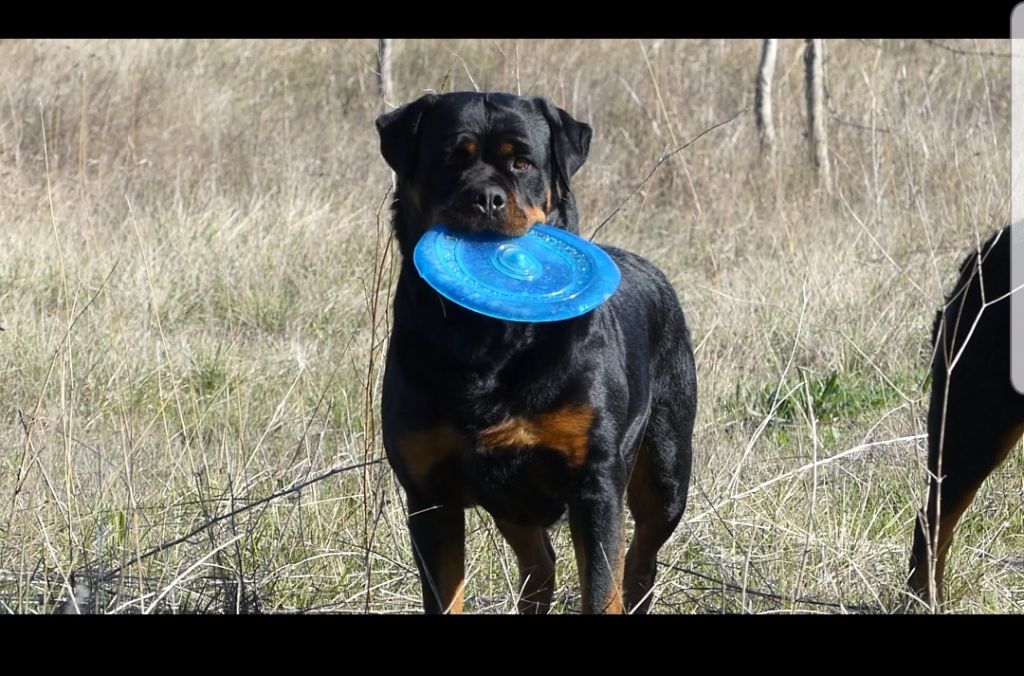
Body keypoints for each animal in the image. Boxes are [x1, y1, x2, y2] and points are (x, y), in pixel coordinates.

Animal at [375, 92, 697, 614]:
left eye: (522, 162)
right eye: (449, 158)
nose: (487, 197)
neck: (487, 338)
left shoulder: (594, 484)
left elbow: (601, 589)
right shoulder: (428, 495)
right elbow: (445, 595)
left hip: (666, 470)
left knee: (640, 559)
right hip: (514, 503)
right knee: (540, 564)